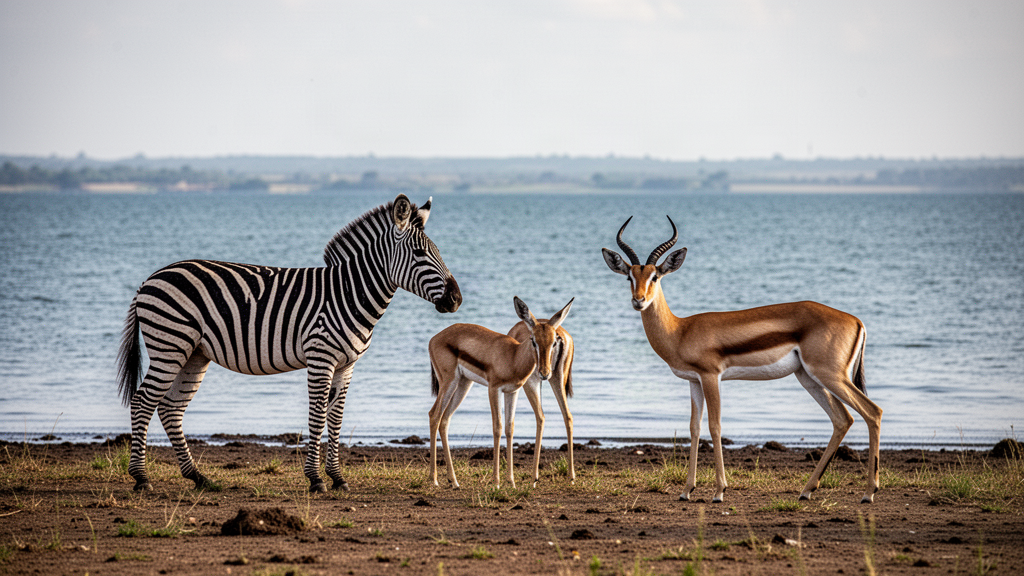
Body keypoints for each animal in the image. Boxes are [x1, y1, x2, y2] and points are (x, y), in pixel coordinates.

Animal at [428, 296, 574, 489]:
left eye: (553, 342)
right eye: (533, 340)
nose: (544, 373)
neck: (513, 357)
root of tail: (435, 338)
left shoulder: (512, 392)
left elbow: (509, 428)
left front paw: (511, 481)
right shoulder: (494, 389)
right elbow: (497, 427)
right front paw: (496, 482)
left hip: (463, 384)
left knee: (444, 419)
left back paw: (454, 481)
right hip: (449, 382)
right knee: (434, 415)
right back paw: (434, 479)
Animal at [602, 216, 882, 504]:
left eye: (655, 276)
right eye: (629, 276)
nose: (639, 300)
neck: (680, 331)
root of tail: (856, 321)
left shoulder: (711, 376)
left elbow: (715, 426)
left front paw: (719, 491)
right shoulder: (693, 382)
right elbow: (694, 428)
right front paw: (686, 490)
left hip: (829, 375)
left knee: (872, 412)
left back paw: (869, 493)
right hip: (809, 377)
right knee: (842, 419)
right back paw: (806, 491)